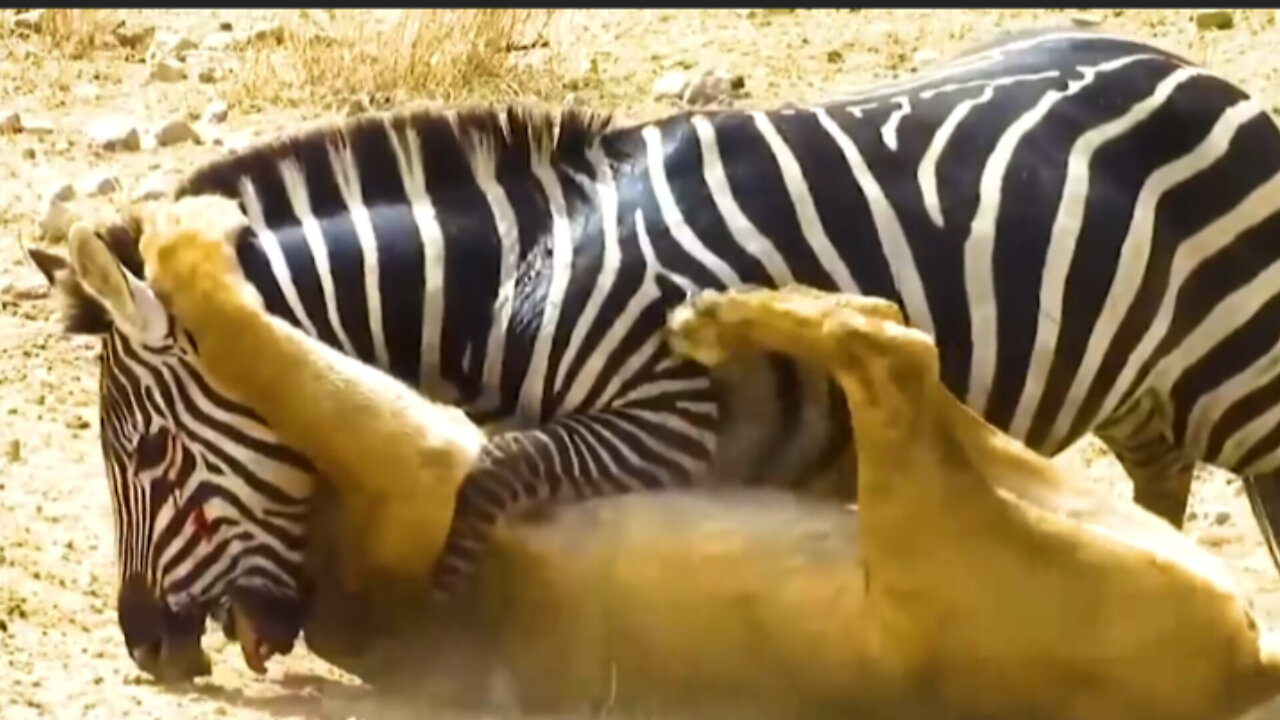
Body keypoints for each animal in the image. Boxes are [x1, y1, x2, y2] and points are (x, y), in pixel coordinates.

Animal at [27, 26, 1280, 676]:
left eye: (143, 455)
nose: (144, 650)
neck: (516, 284)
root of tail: (1188, 65)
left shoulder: (664, 423)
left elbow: (492, 476)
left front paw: (447, 616)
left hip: (1241, 376)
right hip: (1142, 396)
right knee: (1159, 490)